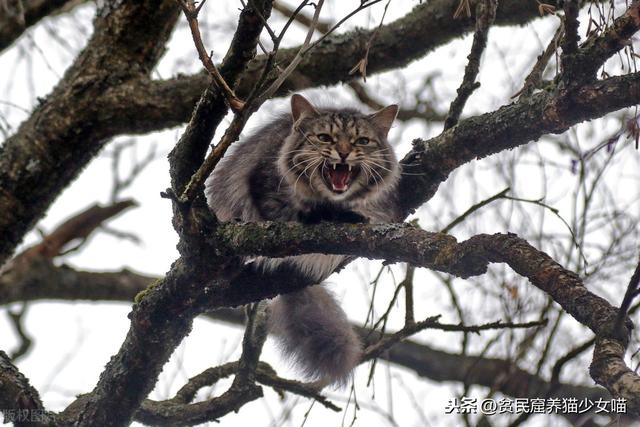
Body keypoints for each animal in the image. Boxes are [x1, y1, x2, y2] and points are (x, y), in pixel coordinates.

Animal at [206, 93, 400, 388]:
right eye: (325, 138)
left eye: (362, 141)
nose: (344, 152)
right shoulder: (263, 181)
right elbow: (281, 214)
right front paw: (310, 217)